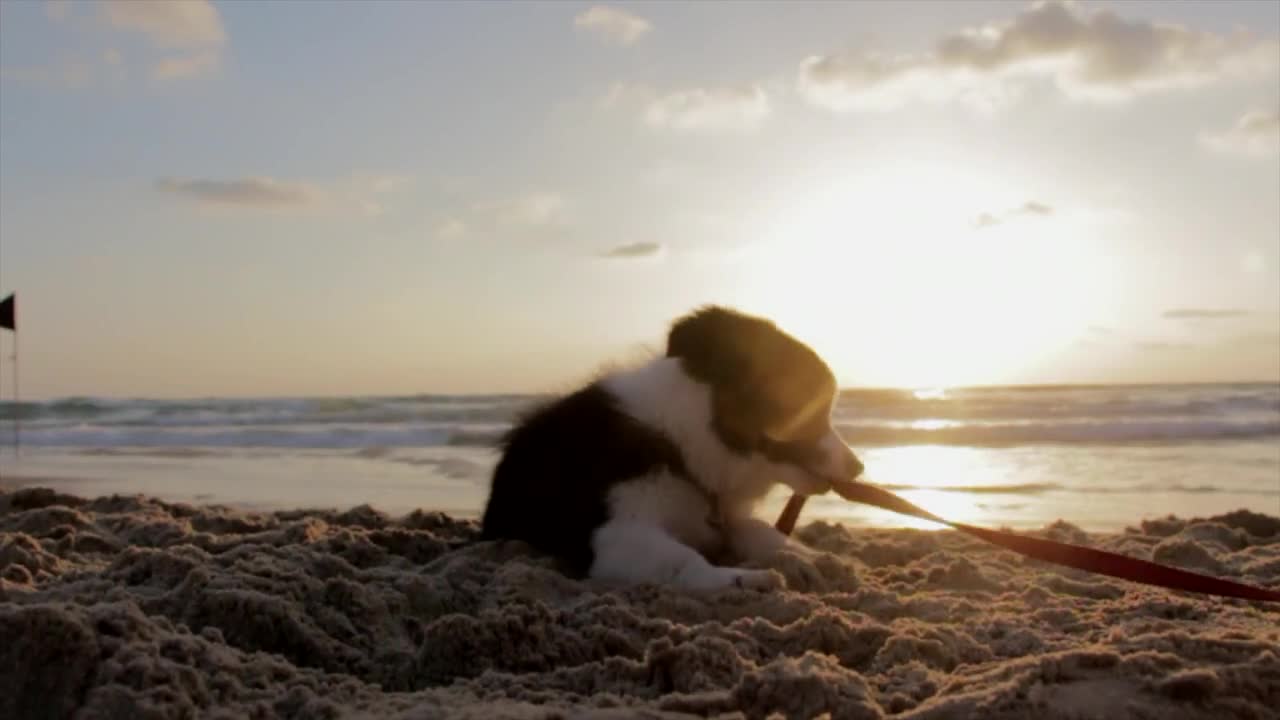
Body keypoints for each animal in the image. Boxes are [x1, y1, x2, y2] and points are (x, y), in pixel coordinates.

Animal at [478, 302, 860, 589]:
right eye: (813, 410)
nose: (858, 467)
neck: (680, 439)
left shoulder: (721, 518)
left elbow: (761, 532)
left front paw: (807, 558)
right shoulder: (615, 533)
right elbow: (684, 558)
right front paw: (738, 579)